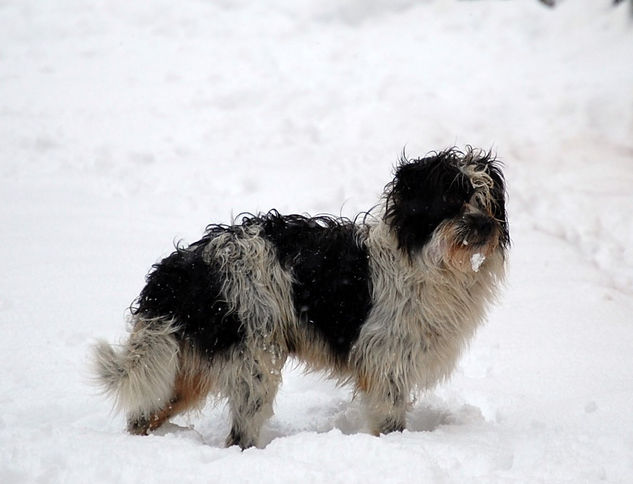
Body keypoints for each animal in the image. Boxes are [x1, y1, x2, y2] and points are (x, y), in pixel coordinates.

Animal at [92, 147, 508, 450]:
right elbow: (390, 421)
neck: (430, 263)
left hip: (191, 363)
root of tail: (185, 266)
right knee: (238, 434)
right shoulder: (387, 364)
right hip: (254, 362)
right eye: (451, 199)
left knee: (144, 415)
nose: (485, 226)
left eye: (487, 201)